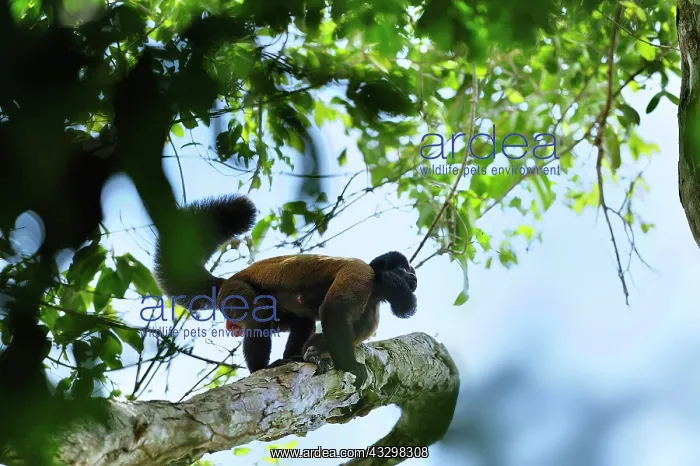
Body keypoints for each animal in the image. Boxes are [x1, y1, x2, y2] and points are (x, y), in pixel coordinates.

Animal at [153, 194, 418, 389]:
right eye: (405, 269)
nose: (413, 277)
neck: (376, 289)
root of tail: (224, 281)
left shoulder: (372, 314)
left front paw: (314, 349)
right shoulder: (361, 273)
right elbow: (334, 310)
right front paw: (349, 366)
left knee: (303, 321)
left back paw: (292, 357)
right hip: (233, 294)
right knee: (259, 312)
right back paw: (261, 368)